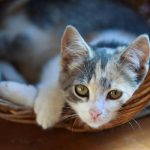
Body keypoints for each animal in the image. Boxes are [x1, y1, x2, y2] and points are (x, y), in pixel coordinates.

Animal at [0, 0, 149, 129]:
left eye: (115, 94)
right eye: (81, 90)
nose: (94, 113)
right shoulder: (57, 59)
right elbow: (54, 79)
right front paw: (47, 110)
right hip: (31, 37)